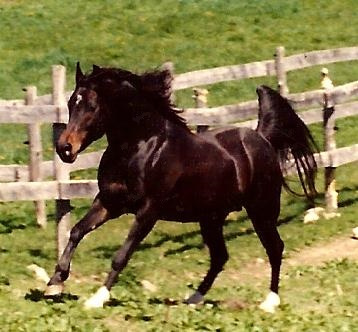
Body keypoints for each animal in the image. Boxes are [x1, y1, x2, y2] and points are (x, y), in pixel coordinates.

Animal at [44, 63, 316, 314]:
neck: (141, 147)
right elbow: (77, 231)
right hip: (211, 218)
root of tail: (263, 139)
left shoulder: (148, 211)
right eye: (70, 103)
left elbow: (122, 255)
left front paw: (97, 298)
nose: (64, 148)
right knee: (220, 256)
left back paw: (270, 301)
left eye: (92, 106)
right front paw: (54, 283)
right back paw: (193, 298)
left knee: (275, 248)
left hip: (261, 210)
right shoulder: (109, 202)